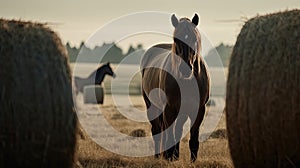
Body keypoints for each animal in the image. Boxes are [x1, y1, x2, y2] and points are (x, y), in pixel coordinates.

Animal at [141, 14, 210, 161]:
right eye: (175, 39)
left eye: (194, 39)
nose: (185, 69)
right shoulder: (169, 108)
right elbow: (169, 137)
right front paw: (168, 157)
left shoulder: (198, 110)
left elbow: (193, 139)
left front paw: (191, 161)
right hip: (152, 106)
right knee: (157, 131)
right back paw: (158, 156)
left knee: (177, 130)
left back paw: (175, 156)